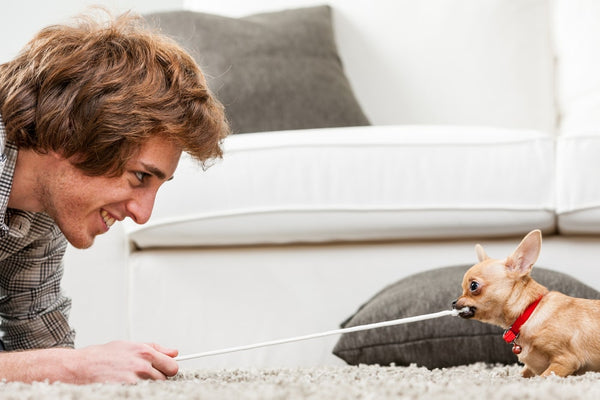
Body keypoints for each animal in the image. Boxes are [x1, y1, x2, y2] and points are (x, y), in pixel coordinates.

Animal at [452, 230, 600, 376]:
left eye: (473, 286)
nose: (453, 302)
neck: (529, 313)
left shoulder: (564, 361)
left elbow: (544, 377)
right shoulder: (530, 367)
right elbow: (521, 374)